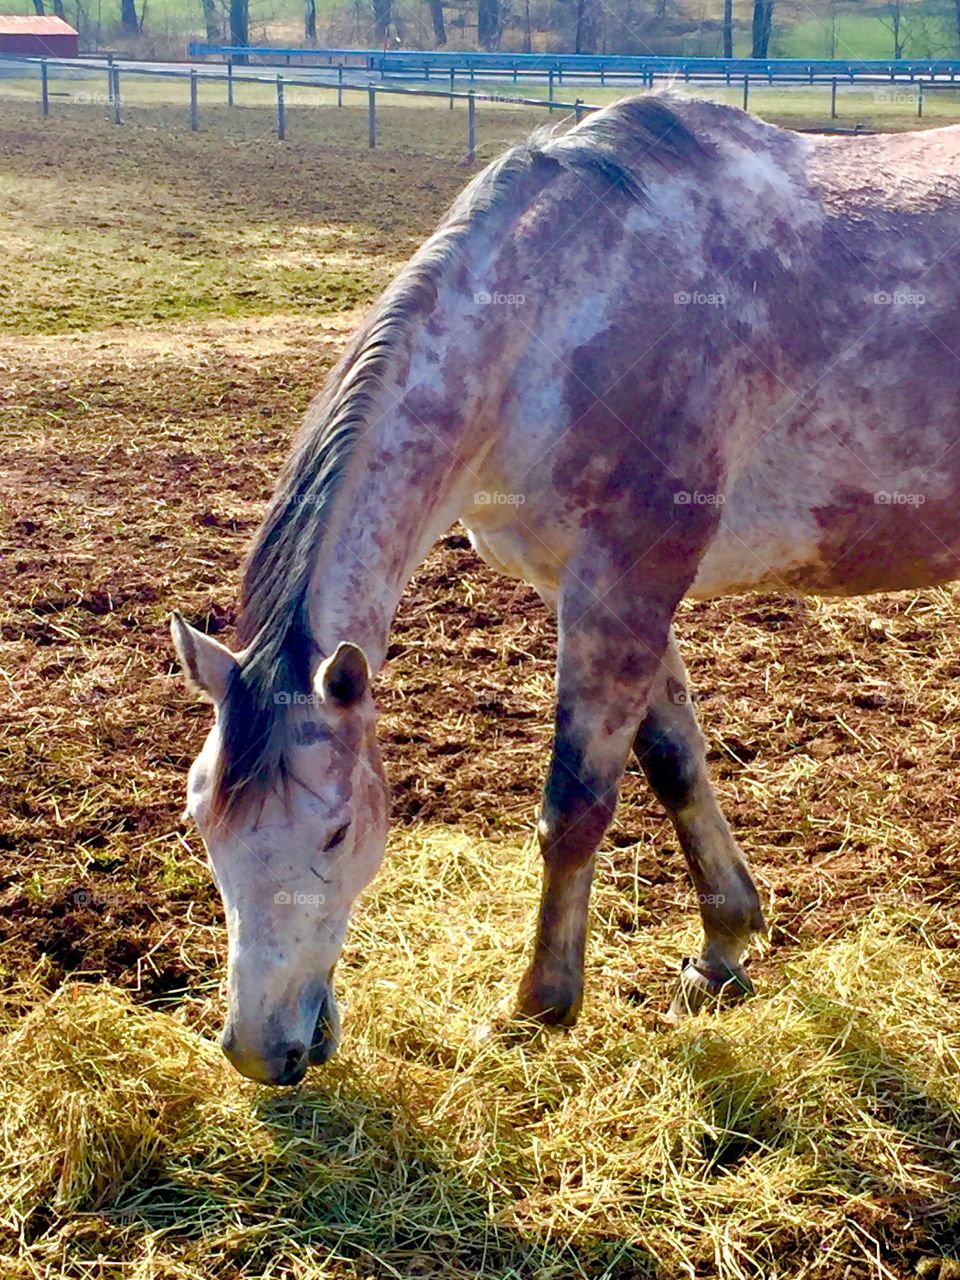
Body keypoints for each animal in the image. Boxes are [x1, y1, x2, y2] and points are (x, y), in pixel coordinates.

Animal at [172, 91, 960, 1085]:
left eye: (337, 831)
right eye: (200, 818)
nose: (257, 1049)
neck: (555, 320)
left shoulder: (623, 586)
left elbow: (577, 804)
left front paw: (540, 1007)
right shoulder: (590, 589)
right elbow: (676, 763)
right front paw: (722, 950)